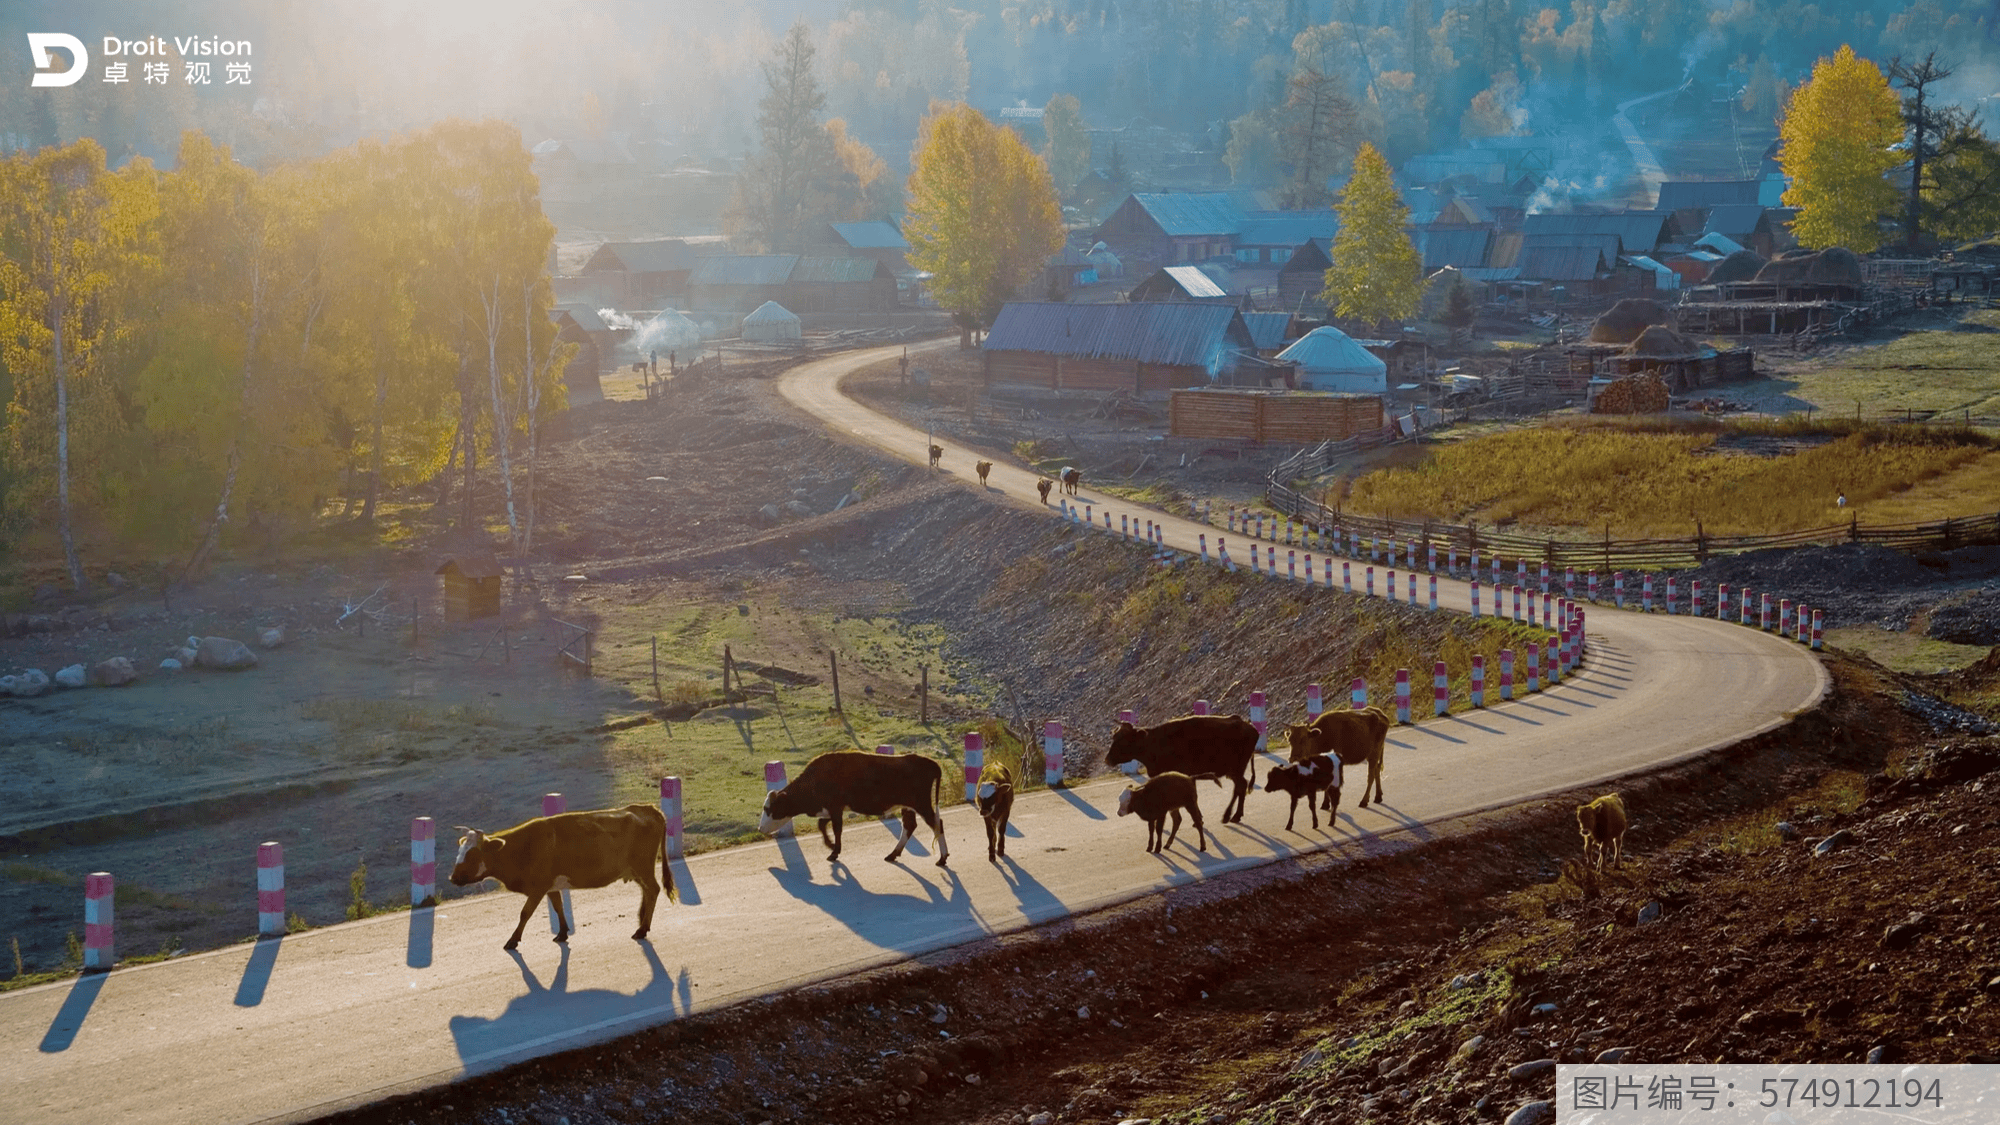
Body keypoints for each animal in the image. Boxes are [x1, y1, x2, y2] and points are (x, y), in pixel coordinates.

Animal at [450, 800, 676, 948]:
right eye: (459, 851)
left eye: (473, 854)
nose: (452, 878)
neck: (521, 848)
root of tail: (646, 808)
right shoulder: (549, 886)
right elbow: (558, 906)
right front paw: (562, 932)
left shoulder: (538, 887)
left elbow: (525, 913)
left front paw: (513, 940)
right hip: (636, 870)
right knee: (647, 891)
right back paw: (641, 921)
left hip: (643, 867)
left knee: (653, 890)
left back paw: (642, 928)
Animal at [764, 748, 952, 864]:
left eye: (768, 809)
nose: (761, 828)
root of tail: (929, 762)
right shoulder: (830, 809)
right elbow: (822, 825)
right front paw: (830, 845)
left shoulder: (835, 808)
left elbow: (836, 829)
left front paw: (834, 851)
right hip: (908, 806)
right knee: (910, 826)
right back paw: (893, 854)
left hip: (922, 804)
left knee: (937, 824)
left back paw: (942, 858)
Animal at [1104, 716, 1256, 820]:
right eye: (1114, 737)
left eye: (1123, 739)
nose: (1107, 759)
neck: (1155, 744)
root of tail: (1247, 724)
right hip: (1234, 771)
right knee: (1241, 786)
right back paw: (1236, 815)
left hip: (1236, 769)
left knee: (1240, 787)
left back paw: (1231, 815)